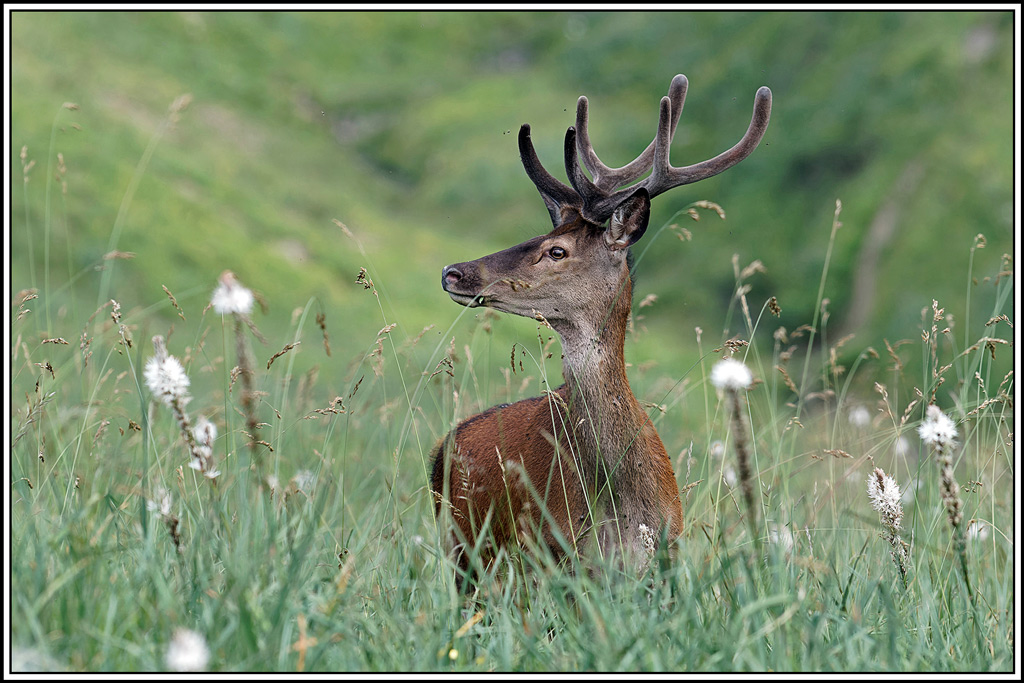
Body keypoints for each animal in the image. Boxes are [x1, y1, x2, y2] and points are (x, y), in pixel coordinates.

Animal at [430, 74, 772, 588]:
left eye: (556, 250)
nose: (453, 272)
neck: (620, 510)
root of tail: (441, 449)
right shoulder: (554, 557)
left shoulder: (663, 557)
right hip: (469, 552)